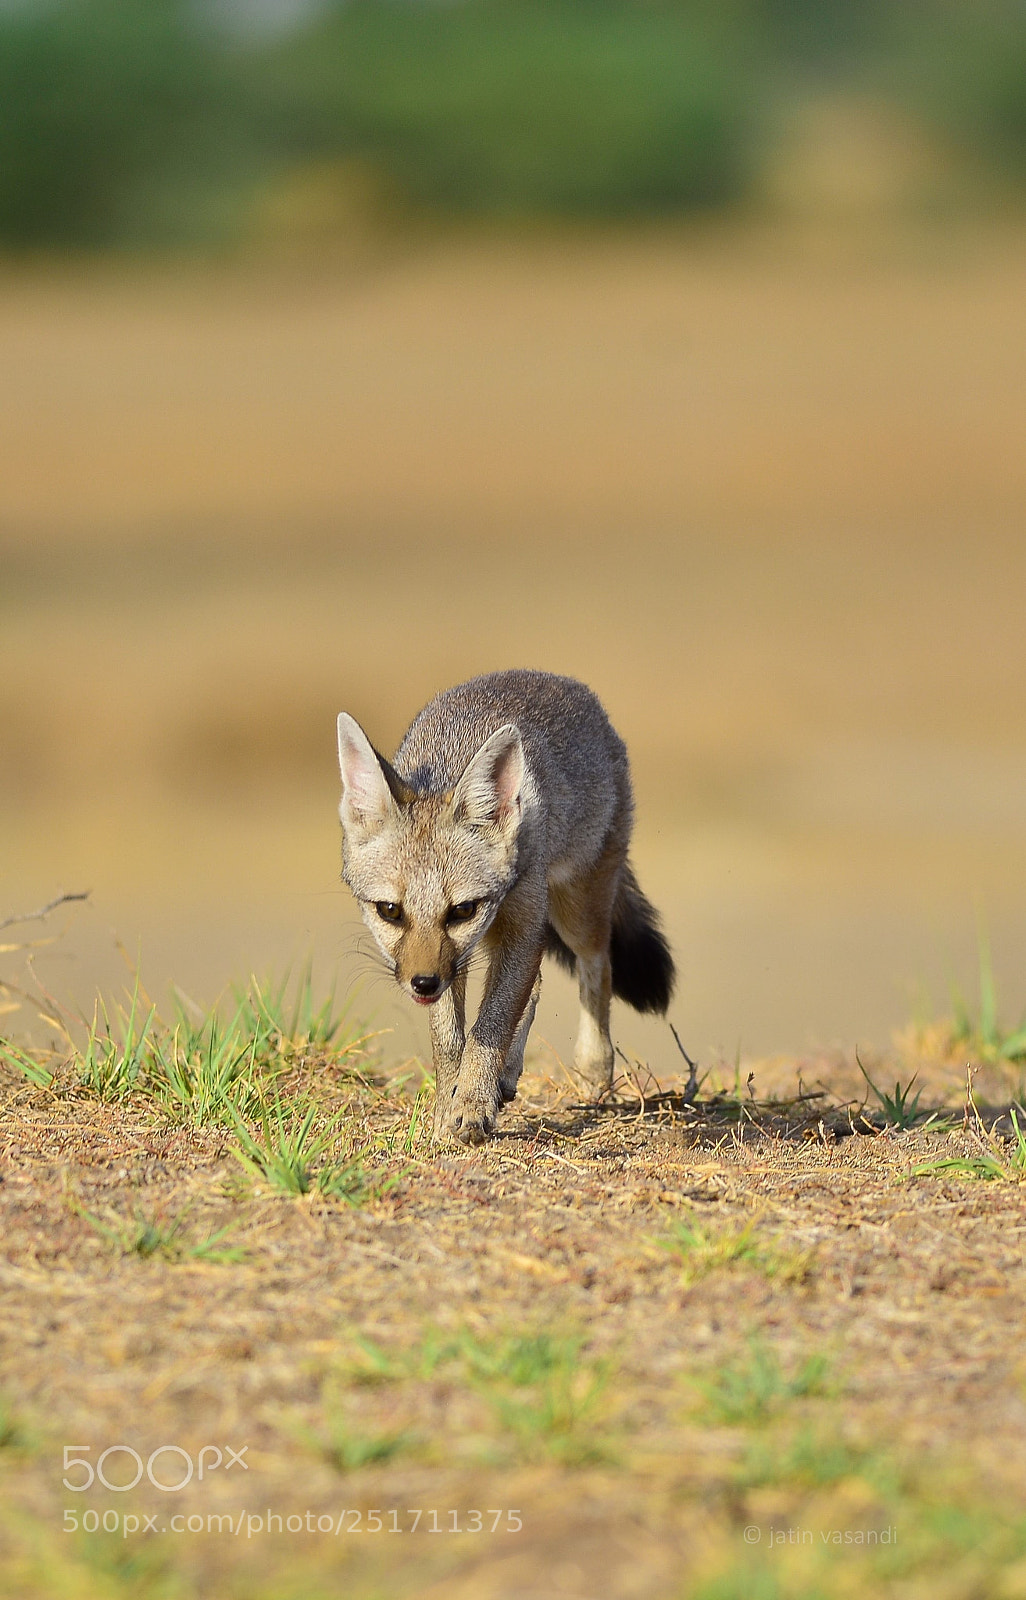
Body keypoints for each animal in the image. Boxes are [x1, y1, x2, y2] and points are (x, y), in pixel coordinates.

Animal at [336, 669, 674, 1146]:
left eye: (462, 910)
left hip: (574, 912)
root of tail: (556, 678)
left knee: (597, 964)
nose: (422, 983)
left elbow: (491, 1023)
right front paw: (450, 1106)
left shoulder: (519, 926)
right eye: (390, 910)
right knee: (536, 986)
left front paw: (472, 1106)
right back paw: (507, 1076)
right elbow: (451, 1038)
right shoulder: (454, 962)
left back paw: (593, 1066)